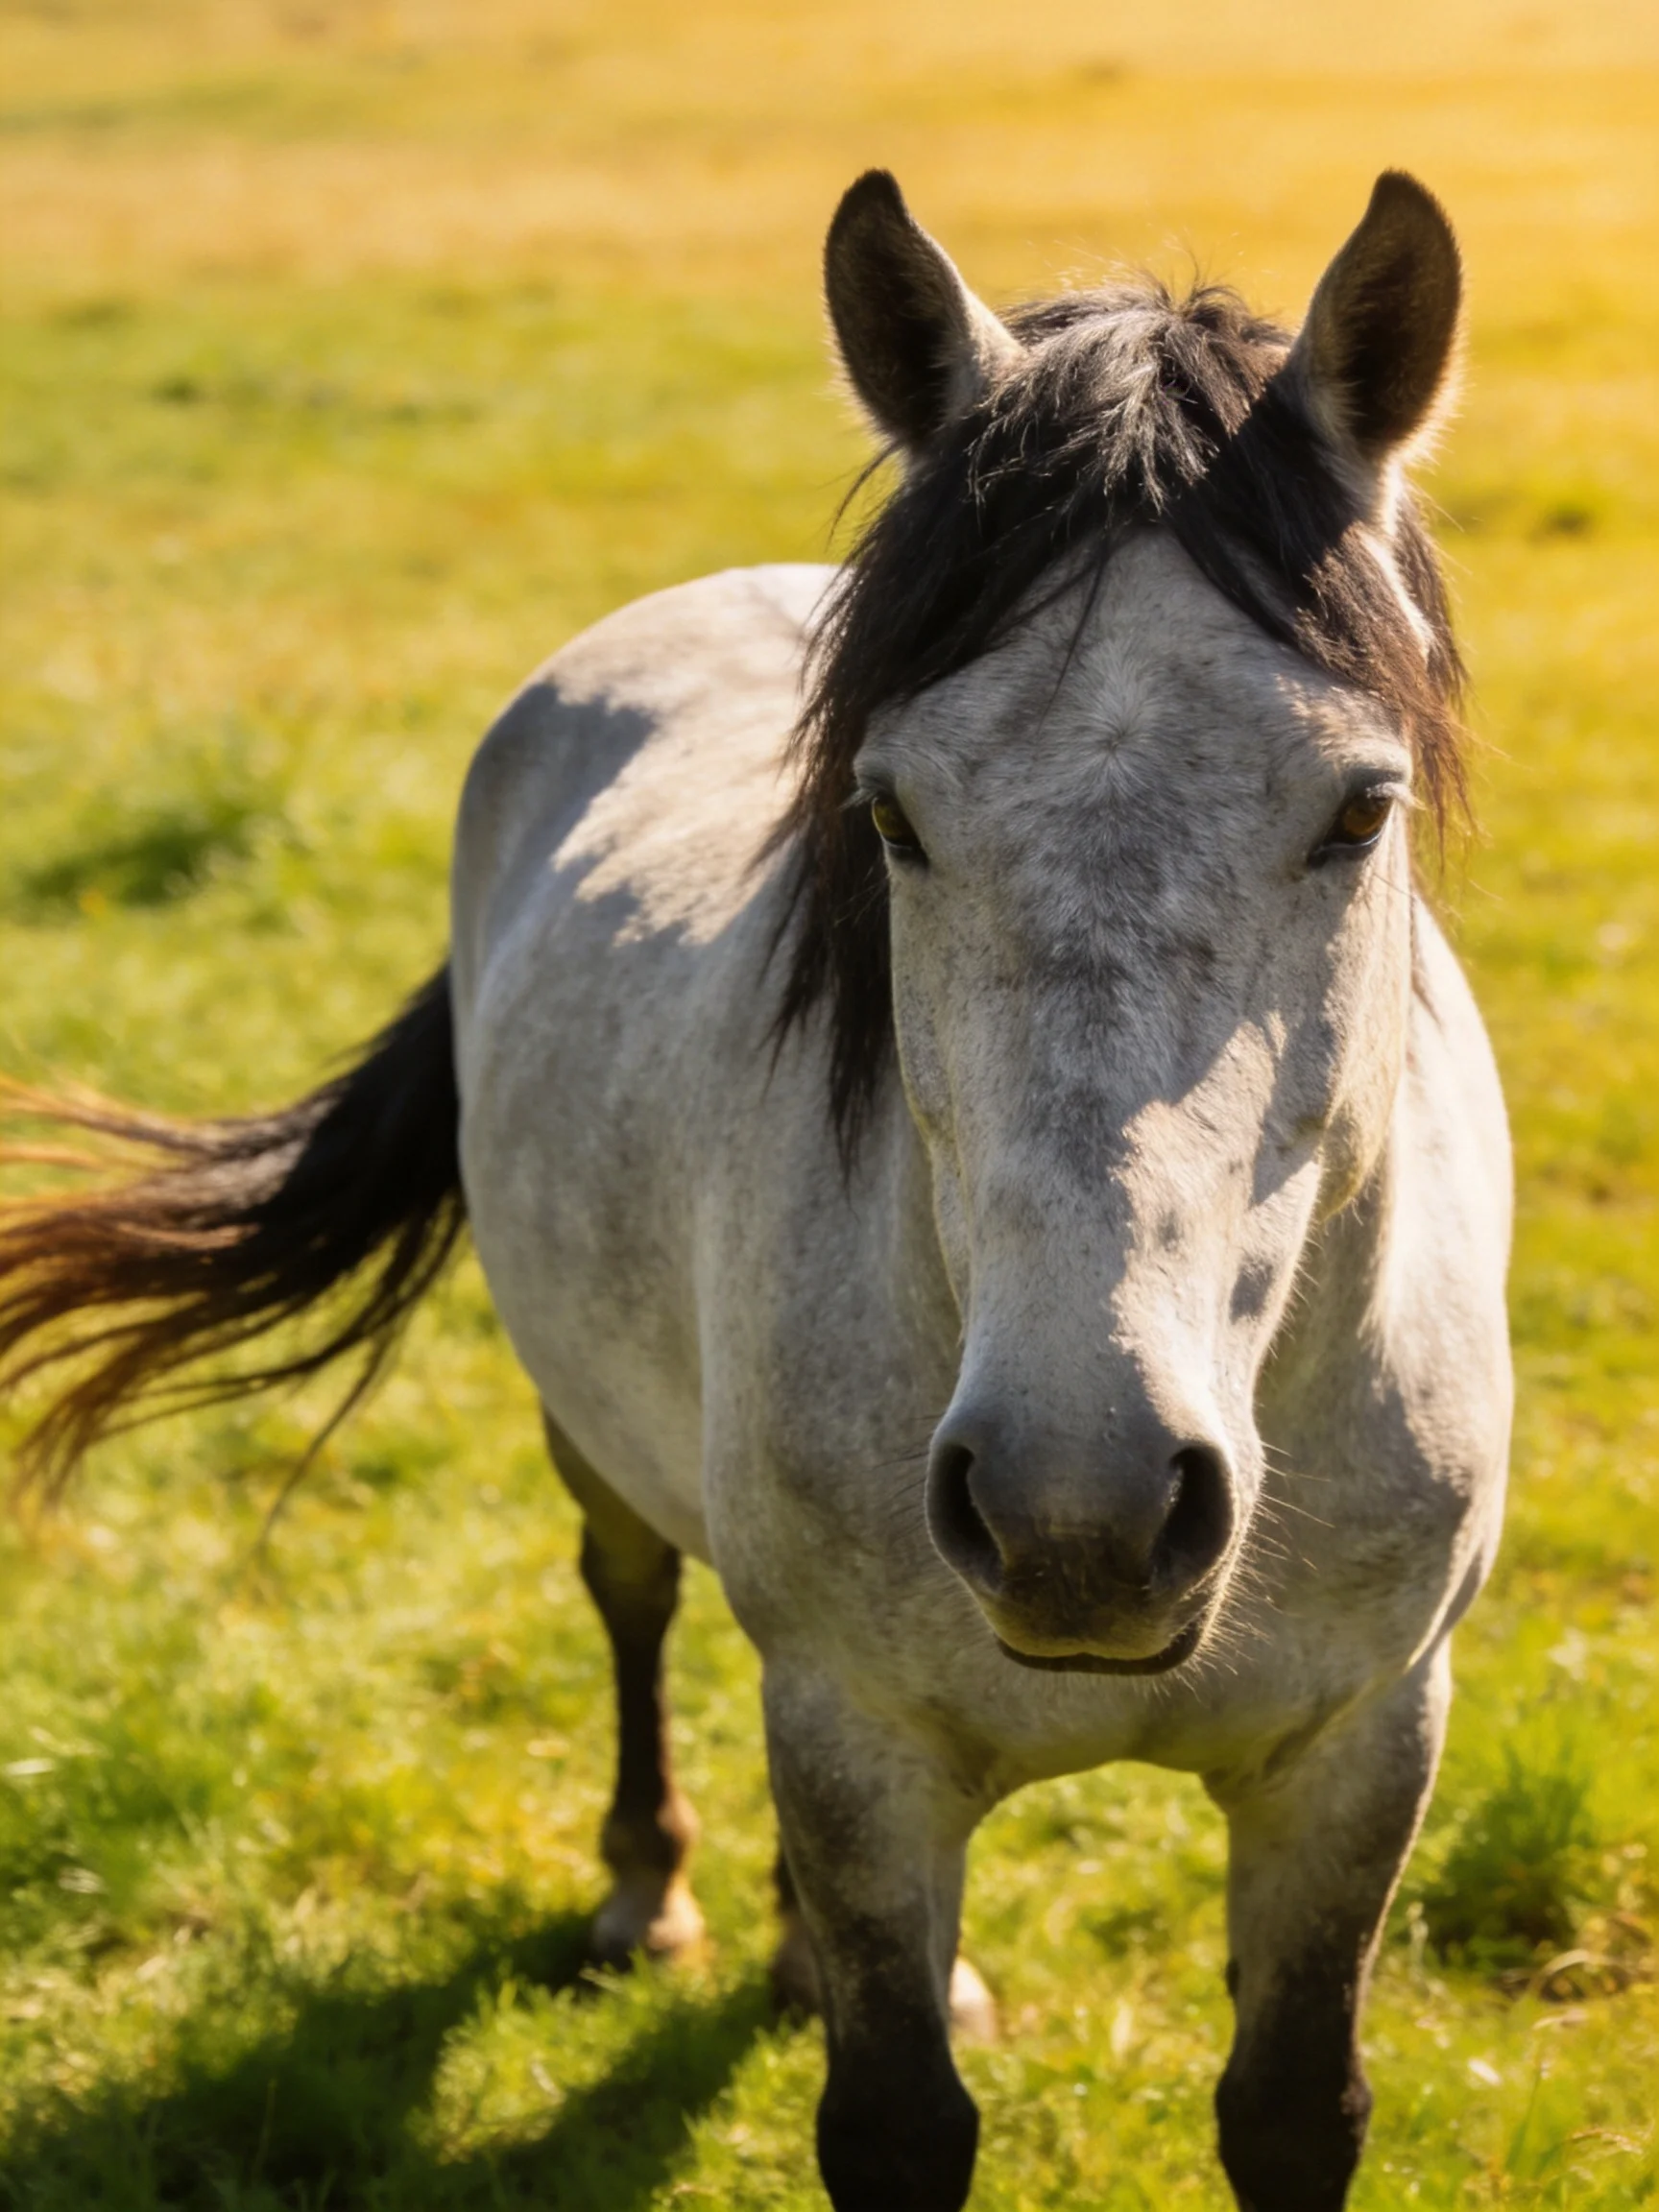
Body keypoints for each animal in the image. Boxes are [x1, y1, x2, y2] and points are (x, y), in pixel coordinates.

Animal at [0, 168, 1512, 2211]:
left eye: (1356, 807)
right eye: (886, 814)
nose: (1080, 1512)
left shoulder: (1359, 1748)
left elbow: (1288, 2107)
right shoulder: (861, 1736)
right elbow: (891, 2120)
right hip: (600, 1441)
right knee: (634, 1596)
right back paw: (649, 1894)